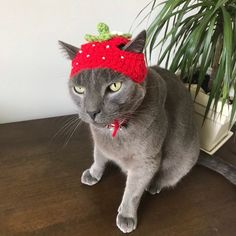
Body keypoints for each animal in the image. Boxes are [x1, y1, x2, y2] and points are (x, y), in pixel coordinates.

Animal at [59, 30, 236, 233]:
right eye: (79, 89)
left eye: (114, 86)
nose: (91, 112)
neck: (115, 132)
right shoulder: (100, 144)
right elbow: (98, 157)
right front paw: (93, 173)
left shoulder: (147, 161)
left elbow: (133, 191)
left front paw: (126, 215)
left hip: (183, 160)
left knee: (167, 177)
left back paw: (153, 186)